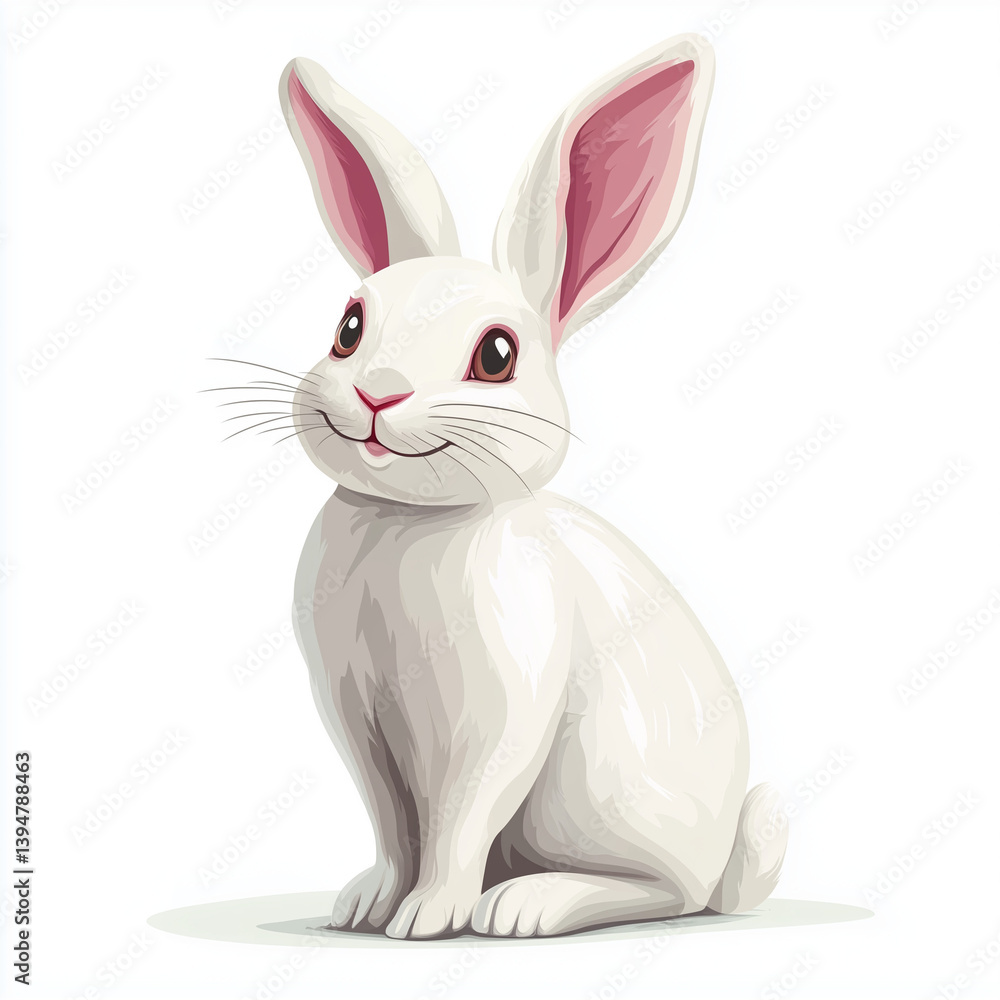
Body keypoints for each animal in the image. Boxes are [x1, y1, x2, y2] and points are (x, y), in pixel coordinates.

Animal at [275, 34, 788, 939]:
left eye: (496, 356)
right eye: (348, 329)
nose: (377, 393)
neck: (409, 521)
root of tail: (728, 858)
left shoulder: (497, 722)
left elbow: (457, 821)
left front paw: (427, 918)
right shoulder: (355, 719)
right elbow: (391, 824)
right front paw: (365, 907)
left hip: (611, 799)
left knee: (666, 892)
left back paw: (524, 905)